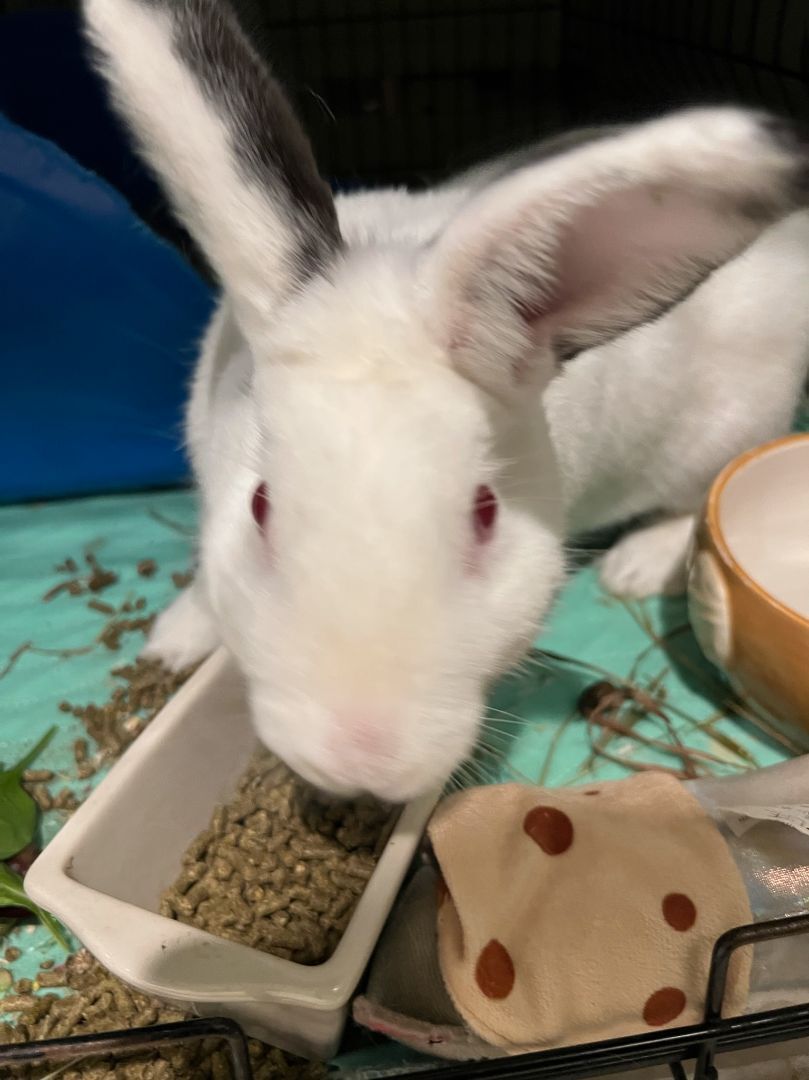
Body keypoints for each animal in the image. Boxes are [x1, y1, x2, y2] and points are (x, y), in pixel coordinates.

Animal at [84, 0, 809, 802]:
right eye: (260, 506)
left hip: (722, 433)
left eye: (485, 512)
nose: (360, 760)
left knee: (689, 509)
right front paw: (172, 642)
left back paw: (632, 567)